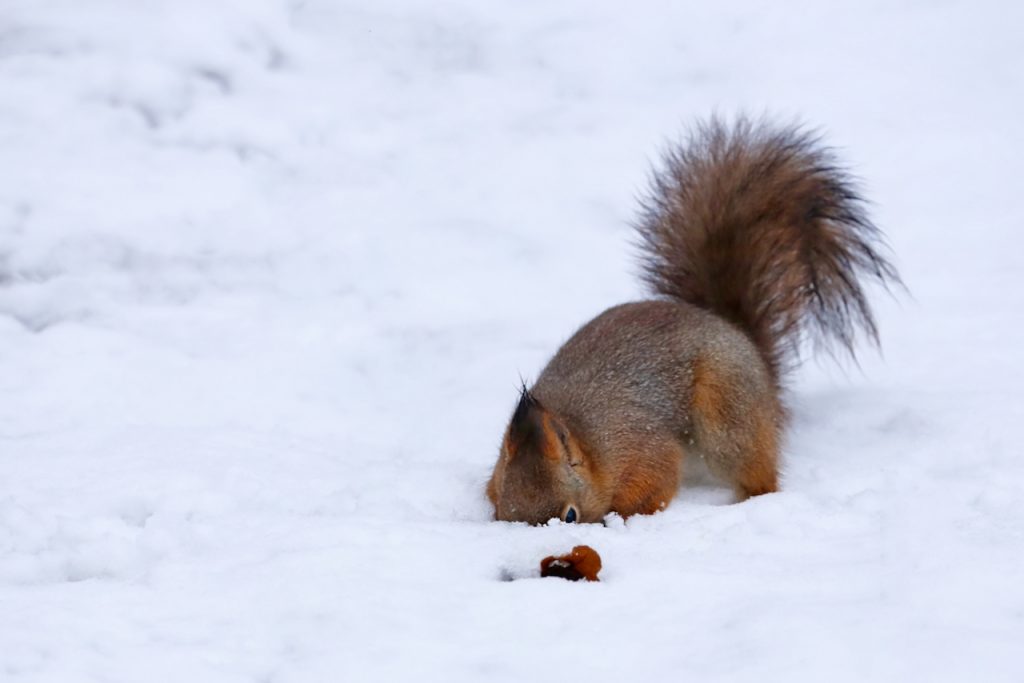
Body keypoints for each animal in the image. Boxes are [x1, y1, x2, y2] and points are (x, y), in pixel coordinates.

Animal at [485, 116, 897, 524]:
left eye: (570, 515)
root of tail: (749, 347)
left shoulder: (639, 445)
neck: (581, 431)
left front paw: (622, 516)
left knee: (757, 473)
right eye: (503, 511)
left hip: (726, 418)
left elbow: (655, 480)